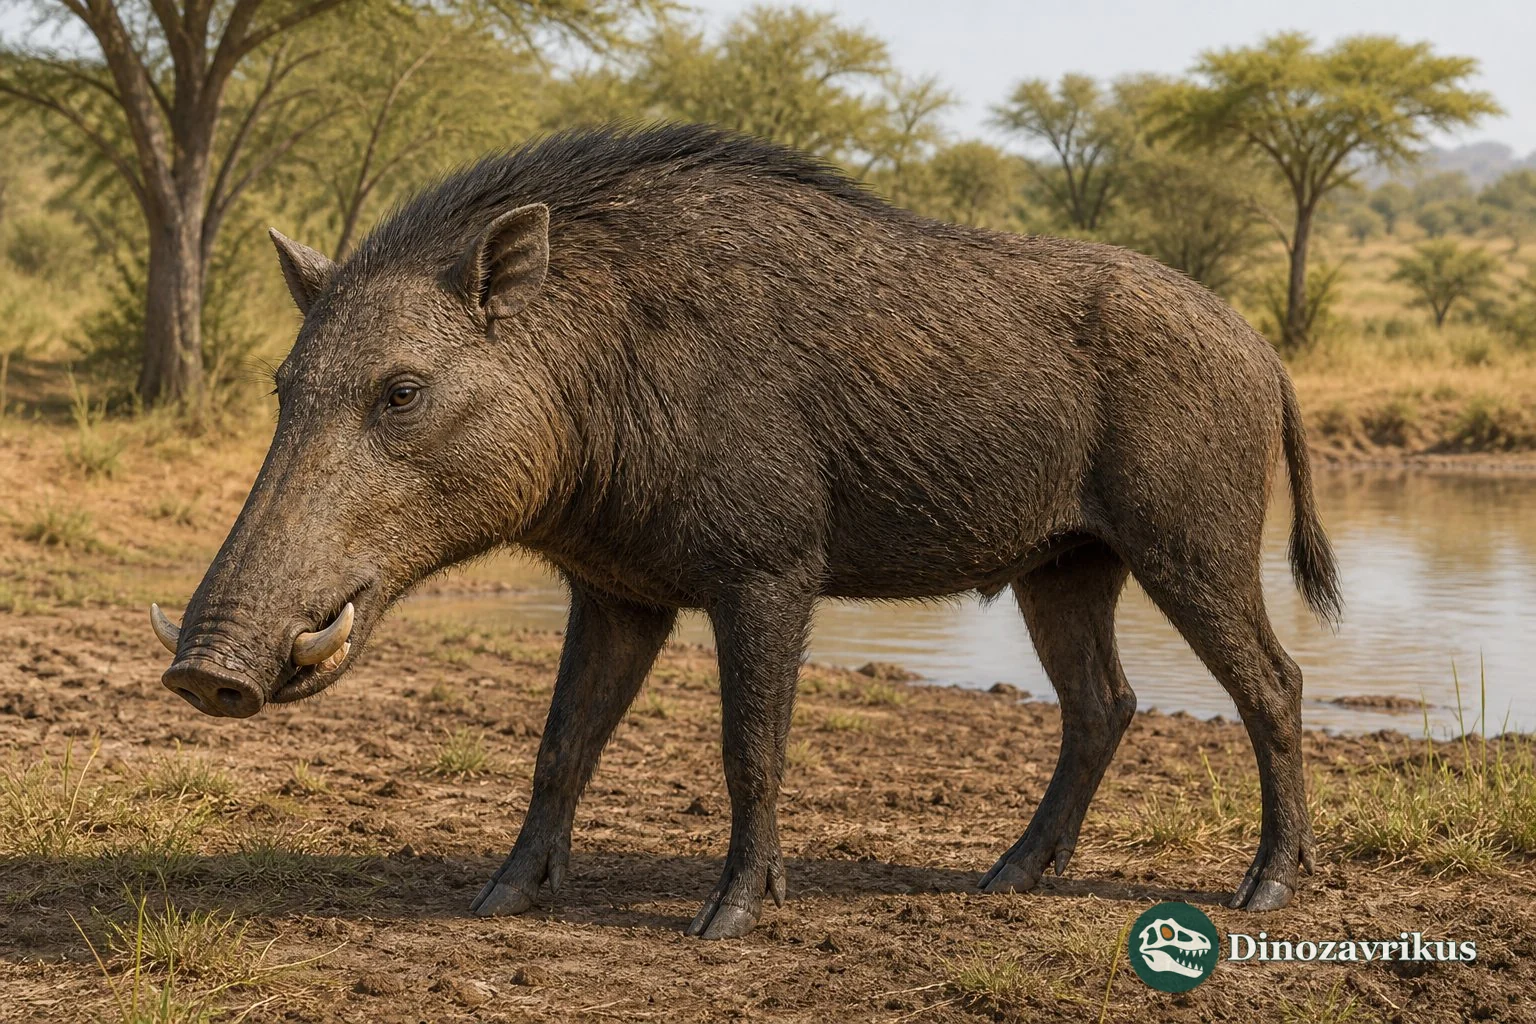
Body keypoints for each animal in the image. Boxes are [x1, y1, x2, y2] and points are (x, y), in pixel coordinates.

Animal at [151, 123, 1341, 939]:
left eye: (400, 391)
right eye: (283, 384)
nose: (206, 674)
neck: (599, 369)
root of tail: (1263, 352)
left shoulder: (767, 575)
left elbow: (750, 747)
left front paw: (731, 914)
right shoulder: (617, 592)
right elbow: (561, 744)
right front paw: (501, 896)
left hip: (1191, 549)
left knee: (1273, 683)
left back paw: (1266, 886)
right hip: (1065, 569)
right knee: (1105, 704)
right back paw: (1008, 874)